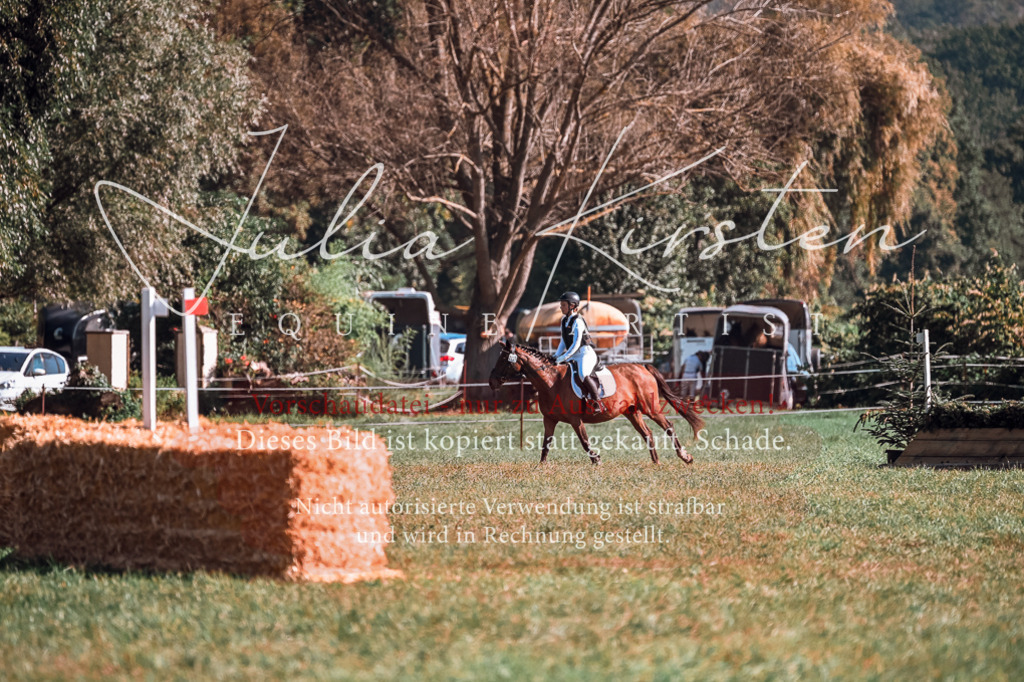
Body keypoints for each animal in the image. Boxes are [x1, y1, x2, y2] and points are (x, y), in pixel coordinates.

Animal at [488, 340, 704, 465]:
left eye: (504, 359)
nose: (491, 382)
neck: (551, 382)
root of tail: (643, 367)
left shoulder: (575, 420)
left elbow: (584, 441)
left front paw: (596, 460)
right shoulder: (549, 420)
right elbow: (546, 444)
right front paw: (541, 466)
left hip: (650, 408)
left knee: (668, 426)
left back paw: (685, 457)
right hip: (632, 412)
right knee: (647, 433)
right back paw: (656, 463)